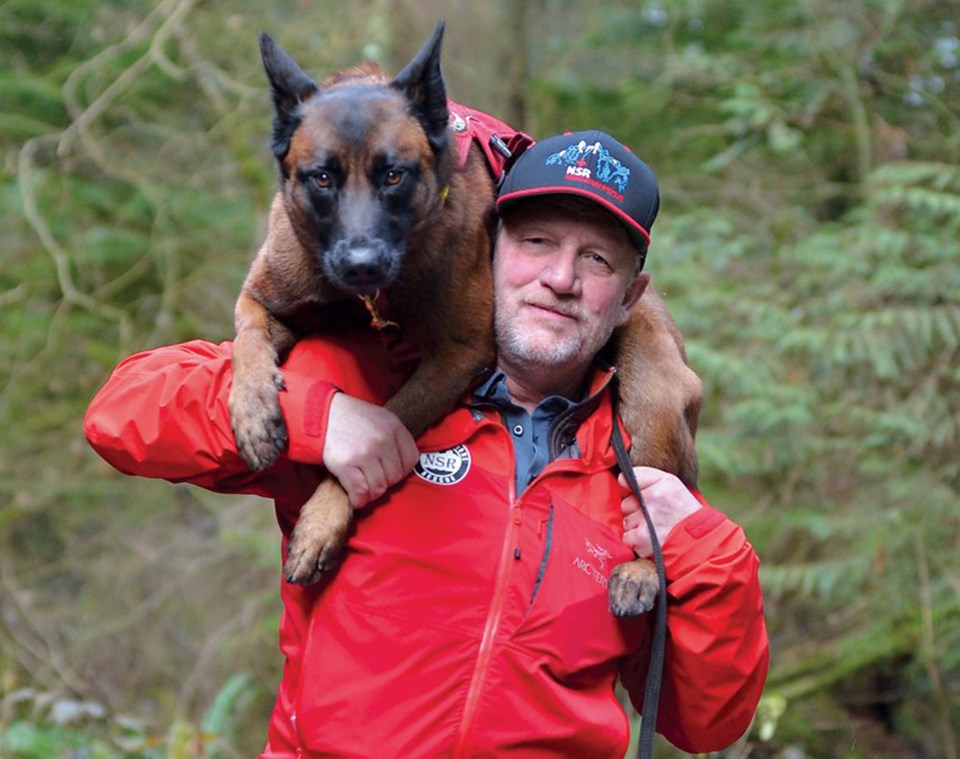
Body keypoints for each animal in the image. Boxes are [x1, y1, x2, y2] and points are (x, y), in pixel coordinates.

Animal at [229, 22, 700, 624]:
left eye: (393, 175)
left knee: (653, 510)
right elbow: (247, 340)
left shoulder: (459, 354)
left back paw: (640, 571)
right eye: (322, 179)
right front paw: (252, 410)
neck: (372, 296)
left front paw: (322, 518)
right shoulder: (263, 298)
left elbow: (391, 417)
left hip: (650, 398)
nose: (361, 263)